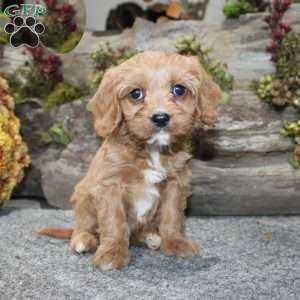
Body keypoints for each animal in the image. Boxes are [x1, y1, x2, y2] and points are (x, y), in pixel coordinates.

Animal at [37, 50, 220, 270]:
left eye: (179, 89)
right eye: (135, 94)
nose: (160, 118)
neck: (151, 149)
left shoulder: (175, 183)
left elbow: (172, 216)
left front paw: (175, 242)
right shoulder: (111, 186)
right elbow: (114, 222)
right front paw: (112, 252)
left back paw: (151, 238)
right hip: (84, 197)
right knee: (82, 227)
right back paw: (83, 240)